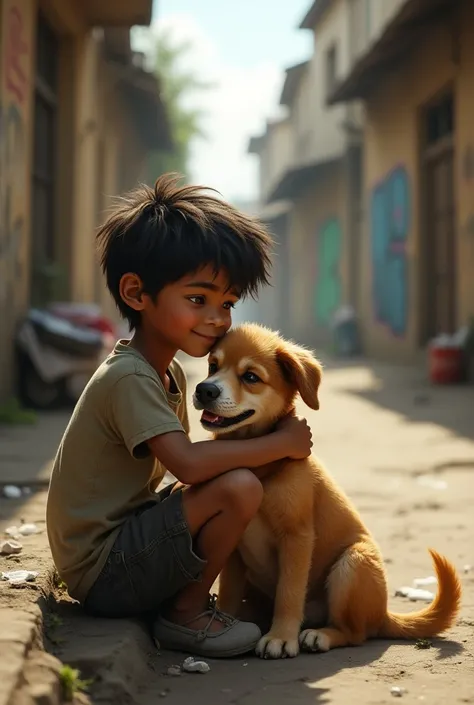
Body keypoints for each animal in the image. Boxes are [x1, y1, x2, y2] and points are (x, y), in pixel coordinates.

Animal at [193, 324, 462, 660]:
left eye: (251, 377)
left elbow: (289, 593)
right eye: (212, 366)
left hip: (353, 563)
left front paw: (281, 637)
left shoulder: (297, 536)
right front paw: (226, 626)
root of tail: (383, 614)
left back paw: (321, 635)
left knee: (356, 633)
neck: (258, 467)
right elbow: (228, 592)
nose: (204, 390)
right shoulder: (235, 549)